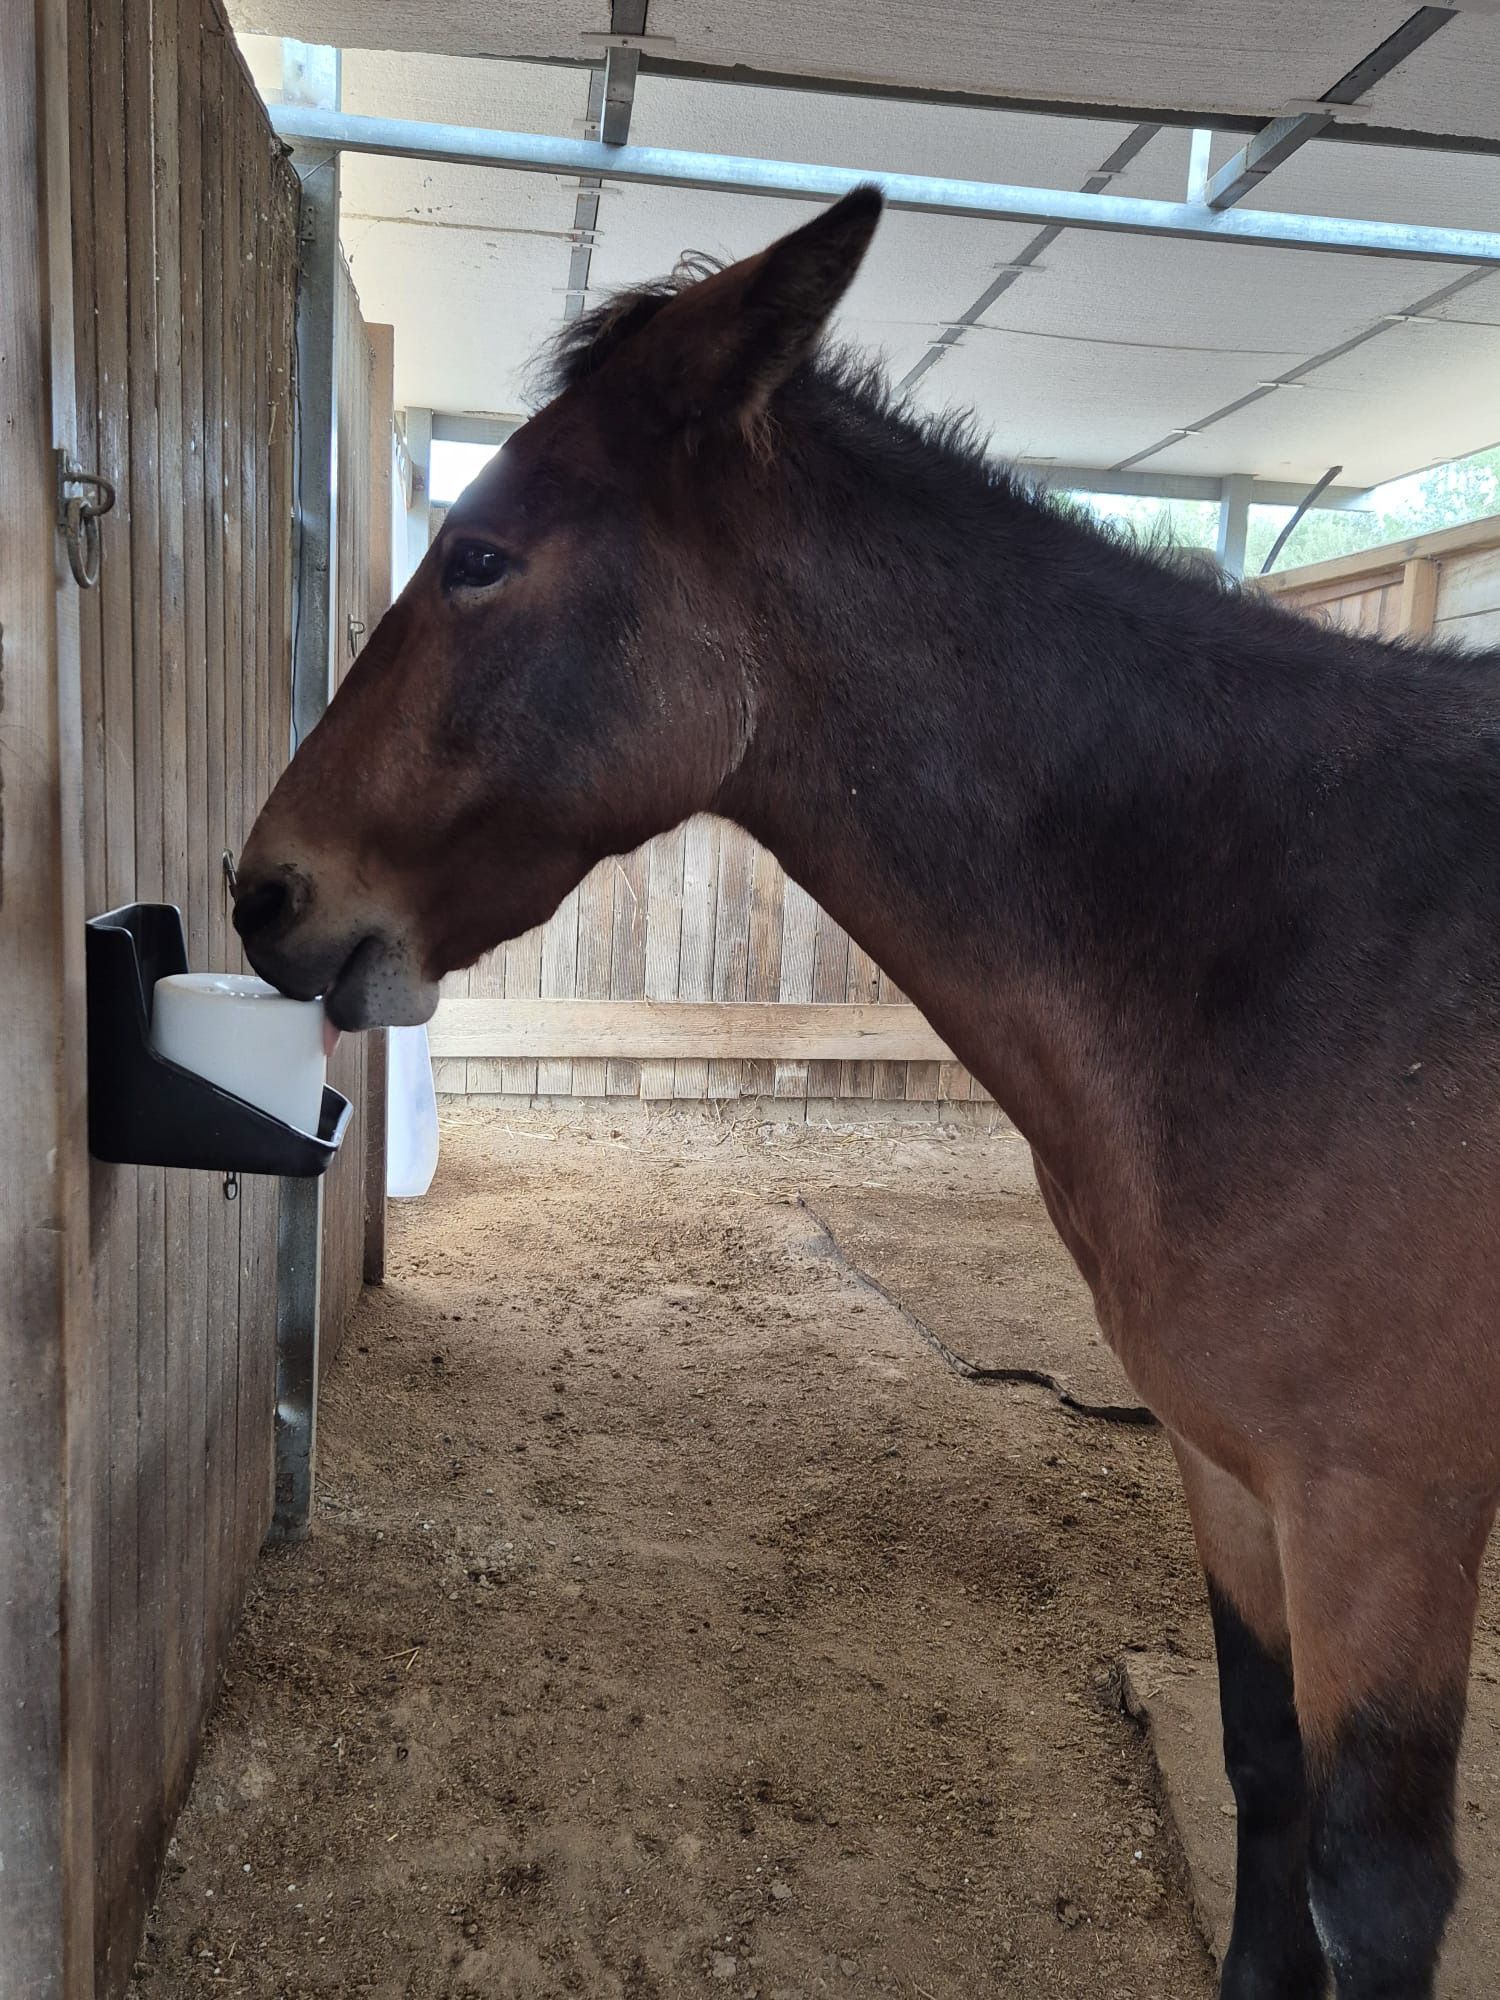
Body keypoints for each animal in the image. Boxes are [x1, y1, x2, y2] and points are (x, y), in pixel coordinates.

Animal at [234, 187, 1500, 1998]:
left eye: (480, 555)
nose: (263, 896)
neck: (1294, 936)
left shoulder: (1385, 1516)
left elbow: (1374, 1892)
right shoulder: (1231, 1475)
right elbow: (1261, 1776)